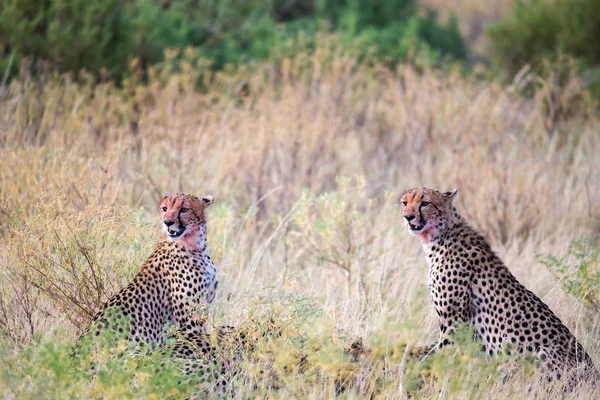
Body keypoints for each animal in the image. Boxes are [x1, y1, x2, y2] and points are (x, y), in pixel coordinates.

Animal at [398, 188, 596, 384]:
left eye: (425, 203)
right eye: (405, 203)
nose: (408, 217)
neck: (441, 235)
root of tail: (593, 372)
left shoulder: (455, 323)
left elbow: (439, 358)